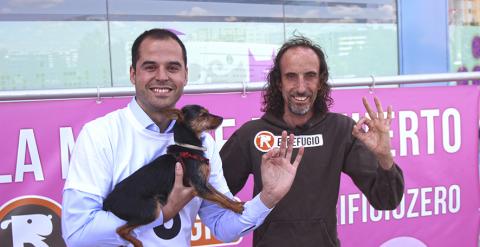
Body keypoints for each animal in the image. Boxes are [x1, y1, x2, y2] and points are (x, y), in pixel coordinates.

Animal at [101, 104, 244, 247]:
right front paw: (236, 208)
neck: (190, 148)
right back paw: (138, 243)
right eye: (203, 115)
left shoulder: (205, 183)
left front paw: (235, 204)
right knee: (120, 230)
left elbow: (222, 196)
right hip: (151, 210)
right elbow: (220, 199)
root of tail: (108, 201)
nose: (221, 118)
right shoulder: (199, 187)